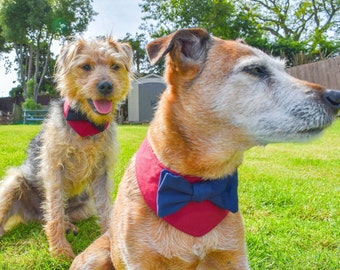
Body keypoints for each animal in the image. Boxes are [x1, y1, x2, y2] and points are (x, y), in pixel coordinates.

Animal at [0, 37, 133, 258]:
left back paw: (68, 225)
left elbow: (106, 207)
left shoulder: (102, 172)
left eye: (115, 66)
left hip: (85, 205)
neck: (86, 123)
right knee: (42, 215)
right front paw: (60, 249)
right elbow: (54, 210)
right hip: (13, 183)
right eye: (85, 66)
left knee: (55, 217)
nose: (106, 86)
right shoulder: (55, 169)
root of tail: (32, 215)